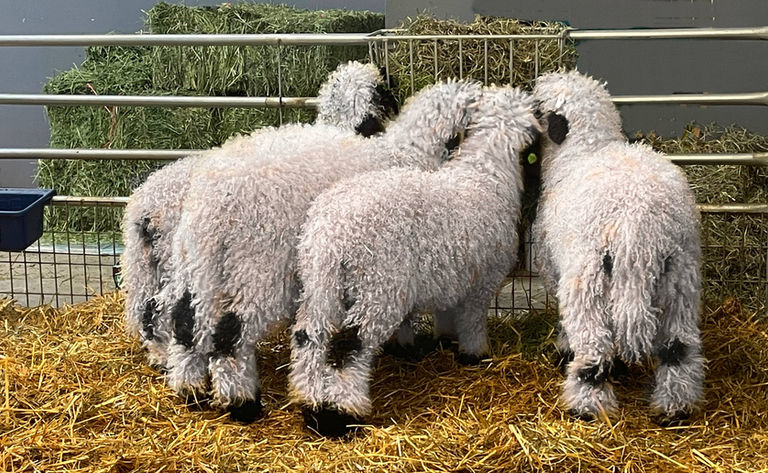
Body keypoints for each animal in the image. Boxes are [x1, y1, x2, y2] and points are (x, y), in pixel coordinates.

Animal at [163, 79, 484, 423]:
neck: (401, 151)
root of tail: (211, 205)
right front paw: (405, 344)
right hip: (257, 269)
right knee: (230, 333)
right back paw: (242, 402)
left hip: (200, 266)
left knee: (186, 320)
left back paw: (190, 388)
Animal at [288, 86, 542, 437]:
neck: (485, 174)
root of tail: (333, 236)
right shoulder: (484, 278)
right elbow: (473, 319)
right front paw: (474, 354)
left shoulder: (451, 274)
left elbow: (446, 313)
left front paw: (442, 342)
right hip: (377, 288)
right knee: (353, 345)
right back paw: (342, 412)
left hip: (320, 285)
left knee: (309, 337)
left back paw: (310, 404)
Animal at [531, 70, 704, 425]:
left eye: (539, 104)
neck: (583, 149)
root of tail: (638, 224)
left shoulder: (553, 269)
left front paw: (563, 348)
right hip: (681, 282)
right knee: (678, 349)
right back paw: (674, 409)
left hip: (587, 284)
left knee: (593, 354)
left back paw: (587, 408)